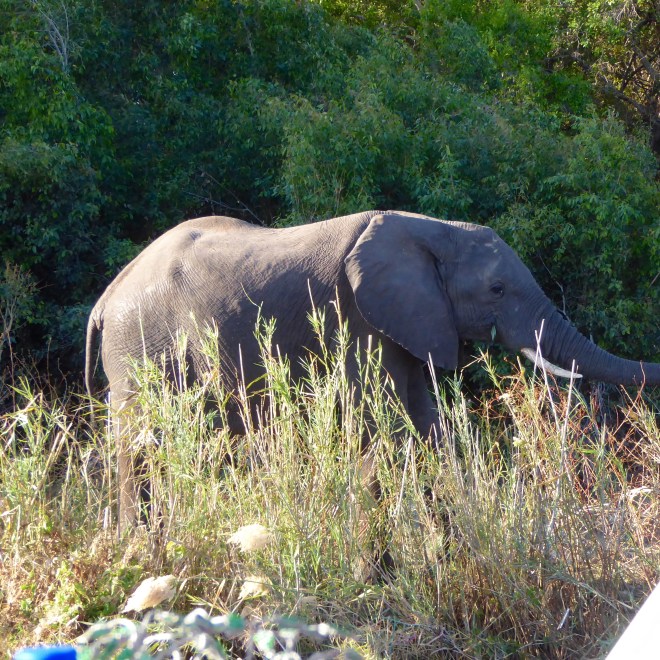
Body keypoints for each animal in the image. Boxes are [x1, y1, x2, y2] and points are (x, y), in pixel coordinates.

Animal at [85, 210, 660, 527]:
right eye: (497, 290)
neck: (434, 231)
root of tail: (107, 296)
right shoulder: (360, 319)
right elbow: (381, 421)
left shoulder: (410, 321)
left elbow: (426, 421)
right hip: (139, 350)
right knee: (142, 448)